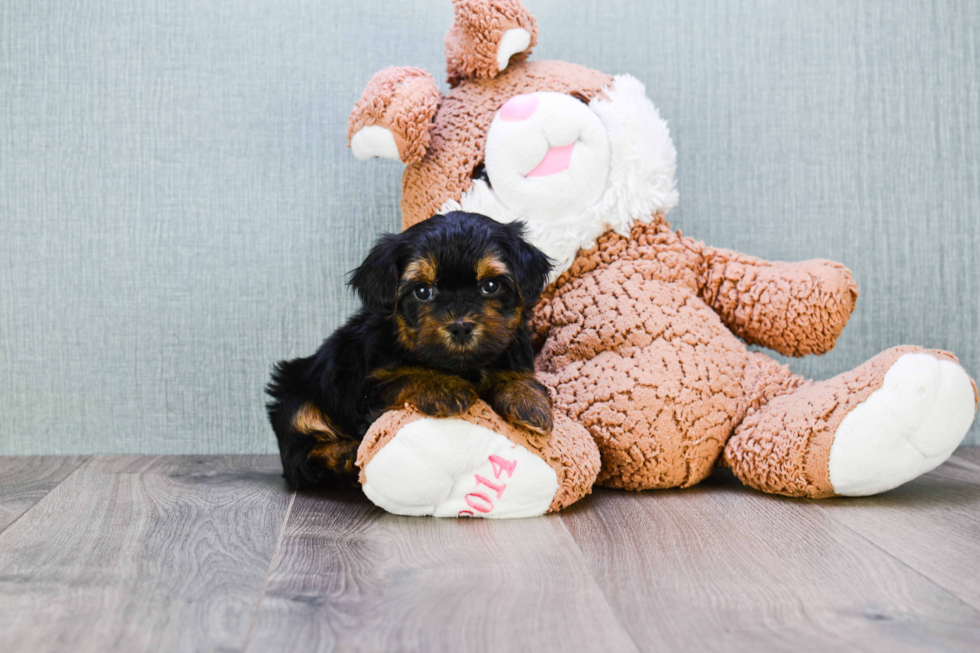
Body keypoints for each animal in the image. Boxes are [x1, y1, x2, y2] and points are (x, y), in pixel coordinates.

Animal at [268, 211, 556, 492]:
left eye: (490, 286)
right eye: (422, 291)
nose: (461, 326)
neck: (462, 366)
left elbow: (516, 376)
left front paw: (528, 401)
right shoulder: (371, 386)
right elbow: (410, 374)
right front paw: (445, 387)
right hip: (295, 394)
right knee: (303, 456)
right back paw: (345, 455)